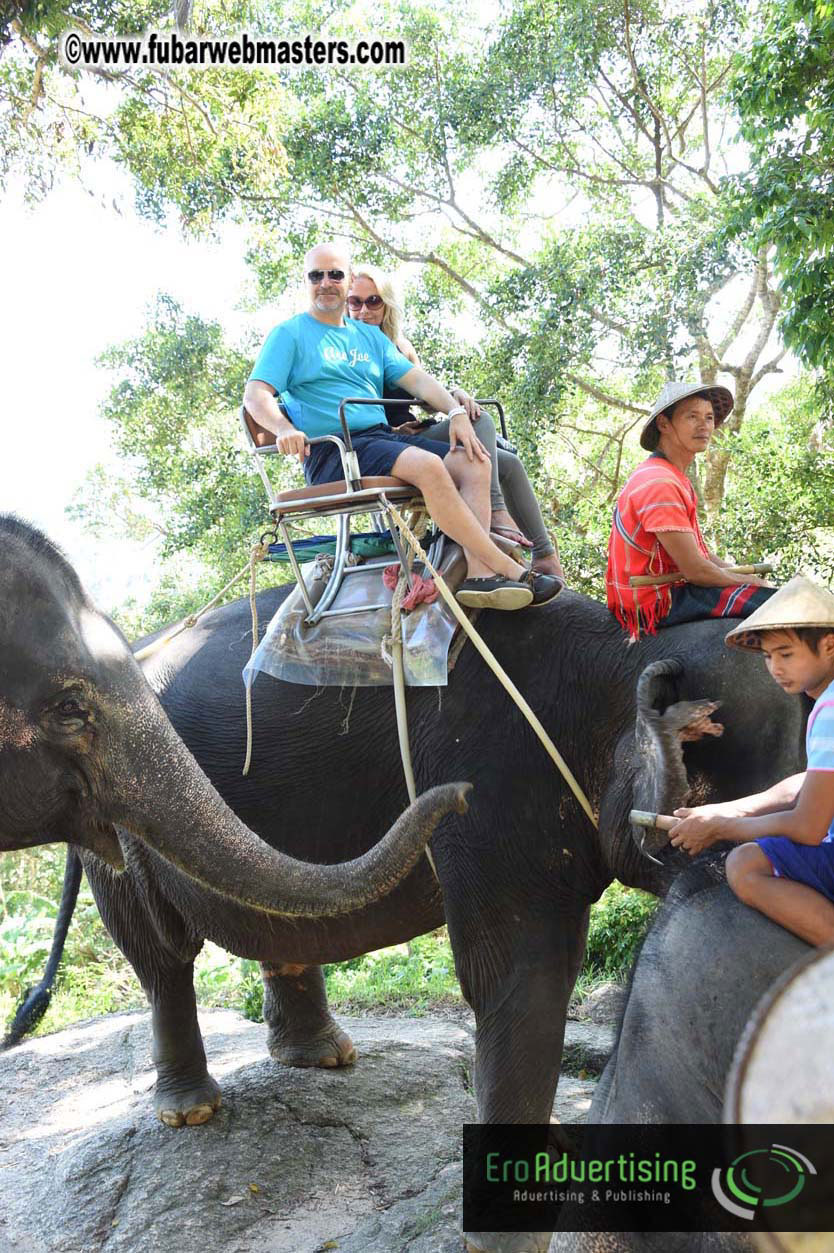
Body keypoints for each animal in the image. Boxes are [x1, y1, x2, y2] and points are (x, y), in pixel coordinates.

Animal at [0, 515, 809, 1253]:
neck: (621, 646)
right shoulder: (495, 777)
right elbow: (520, 970)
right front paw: (514, 1219)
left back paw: (323, 1058)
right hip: (119, 832)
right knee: (160, 954)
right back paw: (192, 1110)